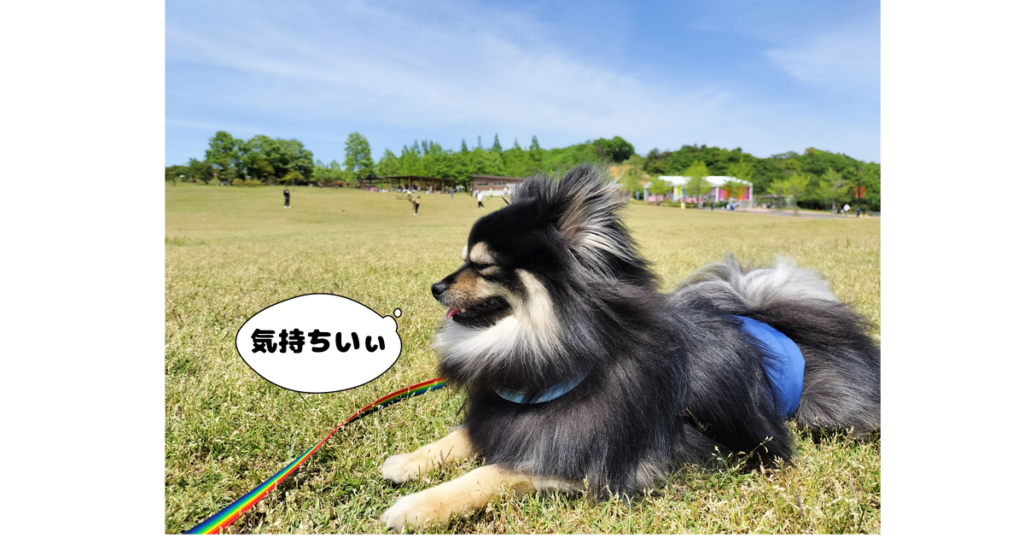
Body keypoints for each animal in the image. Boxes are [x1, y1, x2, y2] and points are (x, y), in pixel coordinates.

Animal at [382, 163, 880, 528]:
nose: (435, 287)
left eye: (482, 266)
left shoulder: (584, 456)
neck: (555, 352)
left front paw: (415, 508)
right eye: (463, 261)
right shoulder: (508, 415)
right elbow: (459, 438)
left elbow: (485, 476)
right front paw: (407, 463)